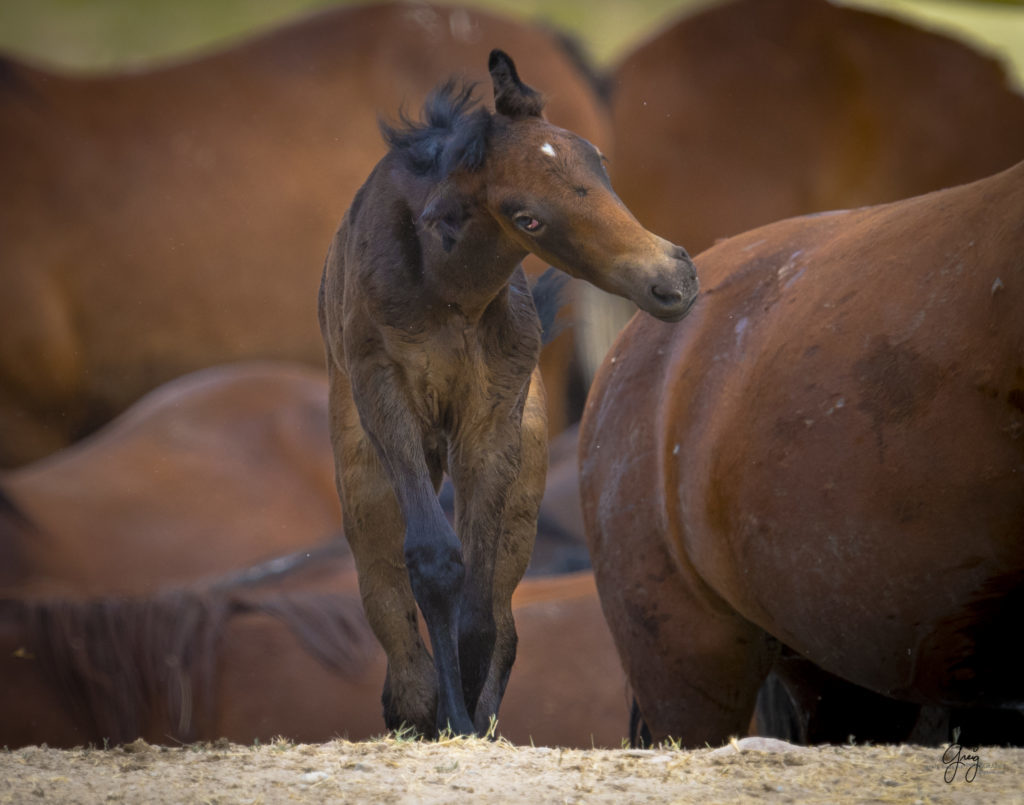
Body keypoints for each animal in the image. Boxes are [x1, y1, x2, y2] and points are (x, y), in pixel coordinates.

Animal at [317, 45, 696, 733]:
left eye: (597, 160)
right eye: (529, 218)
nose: (673, 279)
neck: (448, 291)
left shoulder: (495, 414)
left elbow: (483, 597)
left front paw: (472, 710)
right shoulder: (385, 393)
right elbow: (432, 560)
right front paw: (450, 717)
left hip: (527, 469)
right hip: (361, 469)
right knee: (383, 587)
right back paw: (413, 705)